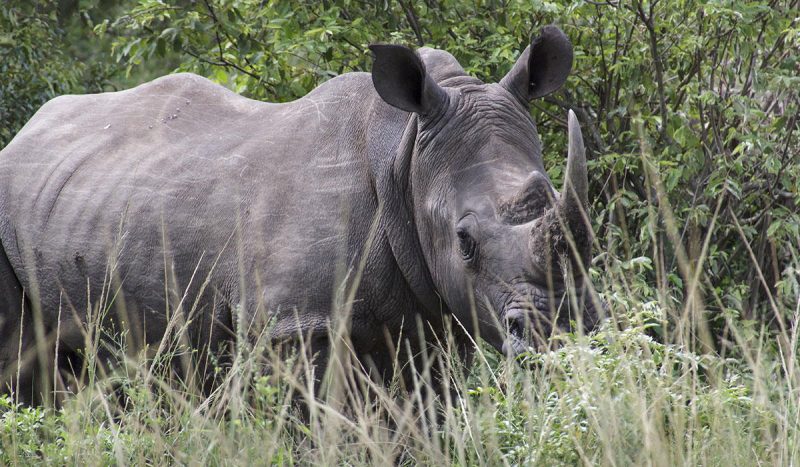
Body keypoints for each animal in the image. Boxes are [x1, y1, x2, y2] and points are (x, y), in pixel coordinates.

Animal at [0, 25, 601, 404]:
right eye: (465, 241)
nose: (560, 331)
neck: (404, 156)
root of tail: (23, 133)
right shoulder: (292, 325)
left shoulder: (431, 320)